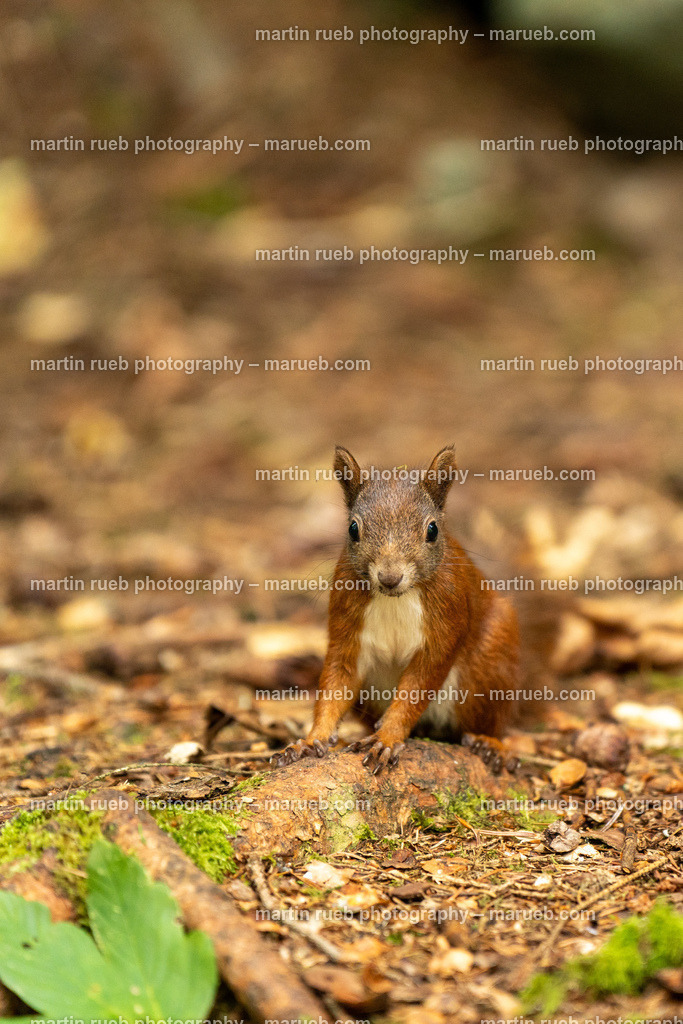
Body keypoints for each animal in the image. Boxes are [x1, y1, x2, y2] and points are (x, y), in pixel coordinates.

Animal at [272, 445, 521, 774]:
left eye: (433, 530)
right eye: (353, 528)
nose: (390, 577)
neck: (395, 598)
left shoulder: (446, 620)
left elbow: (417, 686)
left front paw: (387, 738)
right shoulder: (346, 624)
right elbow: (336, 680)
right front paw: (313, 738)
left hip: (489, 665)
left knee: (493, 722)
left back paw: (491, 744)